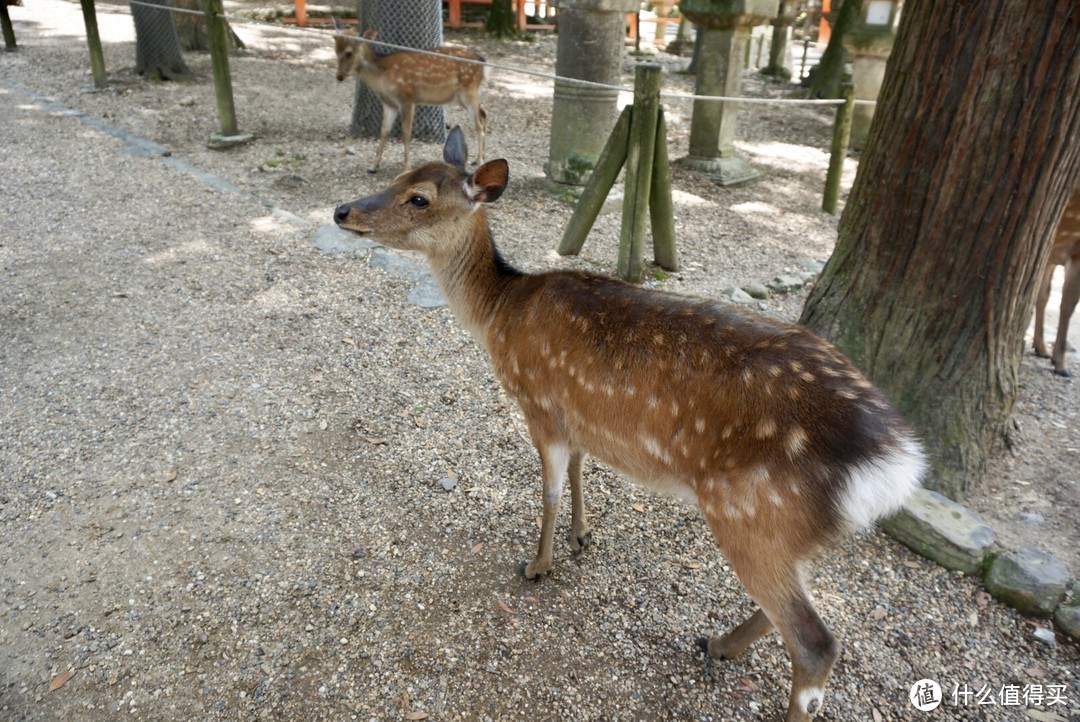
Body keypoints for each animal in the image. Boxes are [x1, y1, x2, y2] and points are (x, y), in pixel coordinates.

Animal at [330, 17, 488, 172]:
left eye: (349, 53)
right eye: (336, 50)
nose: (339, 76)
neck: (382, 77)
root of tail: (482, 62)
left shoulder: (407, 98)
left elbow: (406, 132)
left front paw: (406, 167)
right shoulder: (389, 103)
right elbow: (384, 131)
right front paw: (373, 166)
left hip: (469, 90)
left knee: (479, 124)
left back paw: (480, 161)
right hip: (460, 97)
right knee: (483, 113)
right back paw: (479, 159)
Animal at [330, 129, 928, 720]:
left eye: (420, 198)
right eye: (399, 175)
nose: (341, 210)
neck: (500, 314)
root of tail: (898, 463)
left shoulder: (537, 403)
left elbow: (547, 490)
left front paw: (538, 565)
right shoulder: (575, 415)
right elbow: (579, 471)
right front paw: (582, 534)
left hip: (752, 512)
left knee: (815, 642)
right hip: (802, 533)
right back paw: (718, 644)